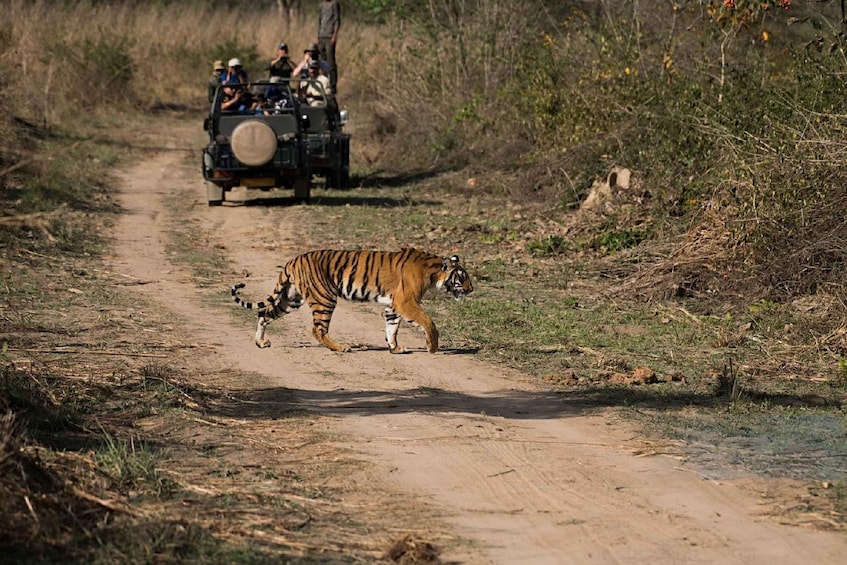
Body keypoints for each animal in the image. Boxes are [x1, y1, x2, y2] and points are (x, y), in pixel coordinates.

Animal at [231, 247, 474, 353]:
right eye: (462, 277)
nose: (472, 290)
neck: (433, 272)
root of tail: (293, 260)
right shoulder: (406, 302)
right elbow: (428, 322)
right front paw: (432, 346)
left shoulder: (393, 305)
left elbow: (392, 328)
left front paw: (394, 348)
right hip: (325, 298)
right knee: (318, 329)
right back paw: (340, 347)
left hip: (290, 299)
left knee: (263, 313)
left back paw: (261, 342)